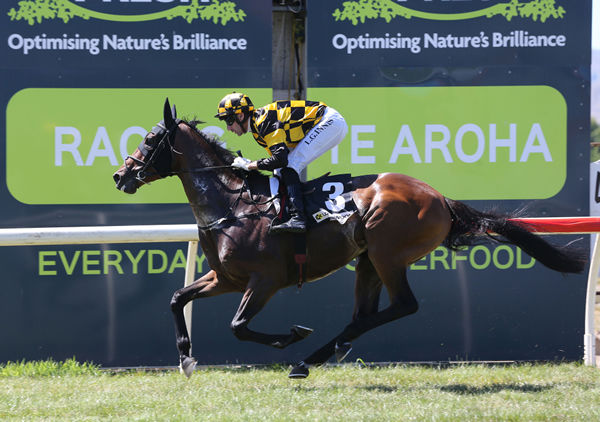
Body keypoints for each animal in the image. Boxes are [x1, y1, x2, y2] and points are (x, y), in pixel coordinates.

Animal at [110, 99, 584, 380]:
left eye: (150, 139)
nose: (119, 175)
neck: (232, 203)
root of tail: (440, 198)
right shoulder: (225, 278)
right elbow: (177, 297)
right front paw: (186, 357)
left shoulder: (263, 281)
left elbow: (239, 326)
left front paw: (290, 336)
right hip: (368, 260)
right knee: (363, 315)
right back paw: (312, 359)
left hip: (387, 252)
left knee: (403, 306)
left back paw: (307, 356)